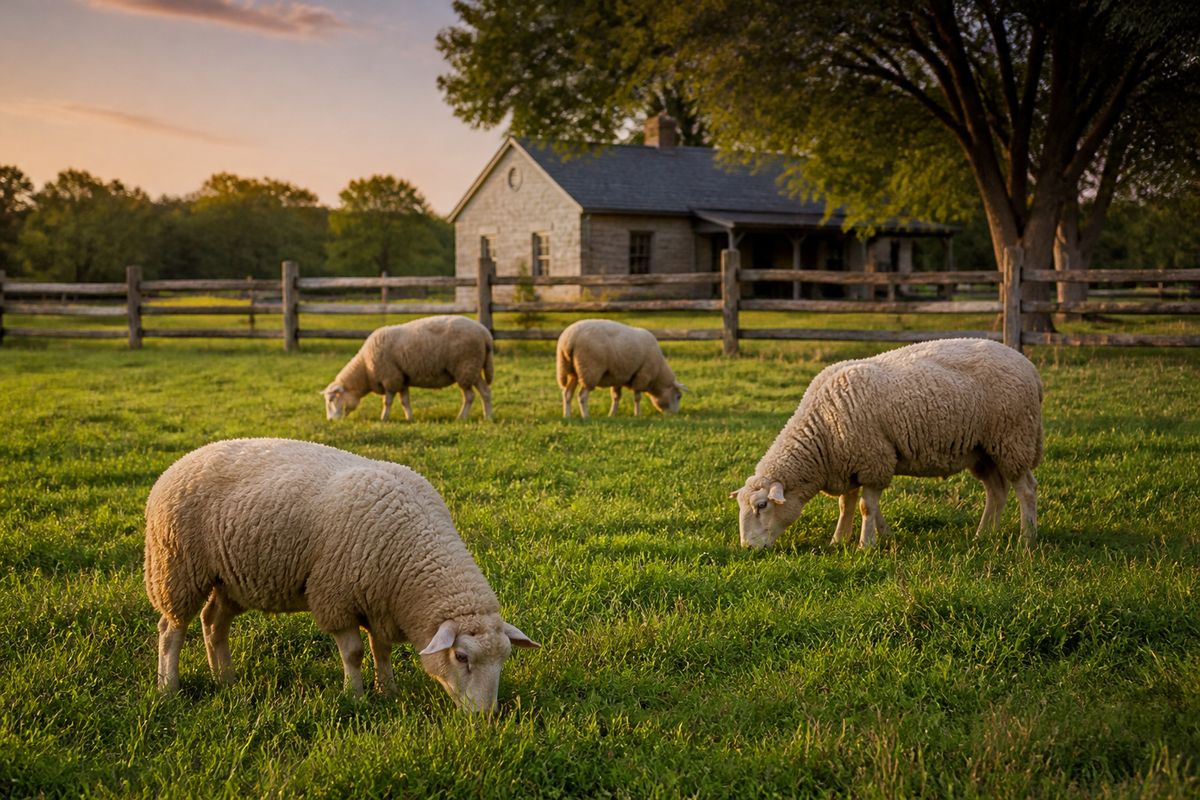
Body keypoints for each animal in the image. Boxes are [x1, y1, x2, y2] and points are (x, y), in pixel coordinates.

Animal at [144, 438, 538, 713]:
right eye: (461, 657)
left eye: (504, 659)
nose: (485, 717)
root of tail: (181, 462)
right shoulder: (335, 596)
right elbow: (354, 652)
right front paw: (356, 696)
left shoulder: (380, 603)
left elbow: (381, 649)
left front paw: (388, 690)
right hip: (177, 567)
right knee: (171, 630)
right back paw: (168, 687)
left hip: (231, 580)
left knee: (213, 622)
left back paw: (225, 679)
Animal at [322, 315, 494, 422]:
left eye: (331, 399)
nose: (330, 421)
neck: (365, 369)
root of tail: (484, 332)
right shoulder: (401, 378)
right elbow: (405, 401)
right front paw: (409, 418)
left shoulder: (390, 378)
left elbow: (387, 401)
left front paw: (384, 418)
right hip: (473, 368)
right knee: (485, 392)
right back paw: (487, 417)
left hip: (465, 366)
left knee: (470, 396)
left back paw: (461, 418)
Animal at [556, 319, 687, 418]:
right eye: (679, 396)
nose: (675, 414)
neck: (658, 374)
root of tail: (569, 339)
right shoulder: (642, 376)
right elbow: (637, 397)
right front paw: (637, 414)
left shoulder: (618, 377)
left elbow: (616, 397)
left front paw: (612, 414)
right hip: (589, 369)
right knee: (582, 396)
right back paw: (585, 416)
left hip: (571, 371)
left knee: (567, 394)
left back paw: (567, 415)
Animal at [731, 338, 1043, 550]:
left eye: (761, 505)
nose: (749, 548)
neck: (822, 432)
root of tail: (1029, 367)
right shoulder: (851, 463)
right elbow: (848, 504)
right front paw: (844, 540)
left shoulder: (874, 459)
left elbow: (865, 507)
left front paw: (864, 545)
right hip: (982, 450)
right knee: (996, 491)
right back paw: (984, 535)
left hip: (1013, 438)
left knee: (1026, 489)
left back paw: (1027, 537)